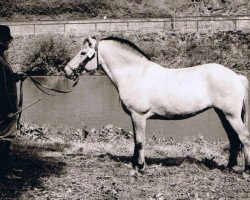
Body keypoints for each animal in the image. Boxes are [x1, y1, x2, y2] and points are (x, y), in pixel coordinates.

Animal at [64, 36, 248, 173]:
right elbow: (136, 141)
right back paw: (230, 167)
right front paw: (135, 164)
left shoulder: (139, 116)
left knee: (244, 137)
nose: (66, 70)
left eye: (82, 53)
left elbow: (140, 141)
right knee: (233, 139)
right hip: (223, 114)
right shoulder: (134, 117)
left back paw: (245, 170)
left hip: (231, 116)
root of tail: (236, 76)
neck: (134, 74)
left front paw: (140, 167)